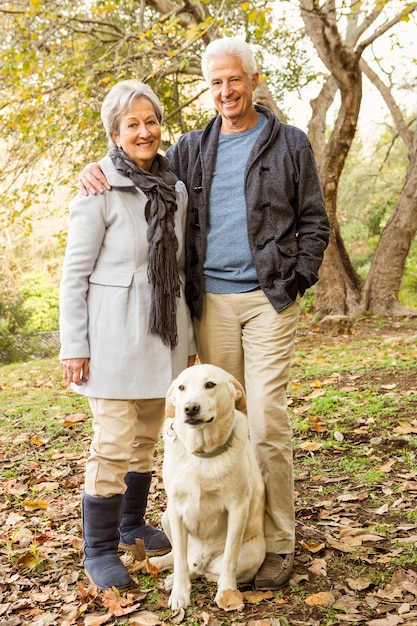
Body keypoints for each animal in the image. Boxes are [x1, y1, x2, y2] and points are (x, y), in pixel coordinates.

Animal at [151, 364, 264, 608]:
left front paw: (227, 592)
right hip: (166, 518)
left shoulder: (238, 508)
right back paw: (163, 567)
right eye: (181, 387)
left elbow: (229, 559)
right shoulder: (175, 509)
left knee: (206, 570)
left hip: (253, 554)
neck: (202, 455)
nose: (190, 408)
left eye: (210, 384)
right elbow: (179, 560)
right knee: (184, 559)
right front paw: (179, 593)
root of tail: (201, 558)